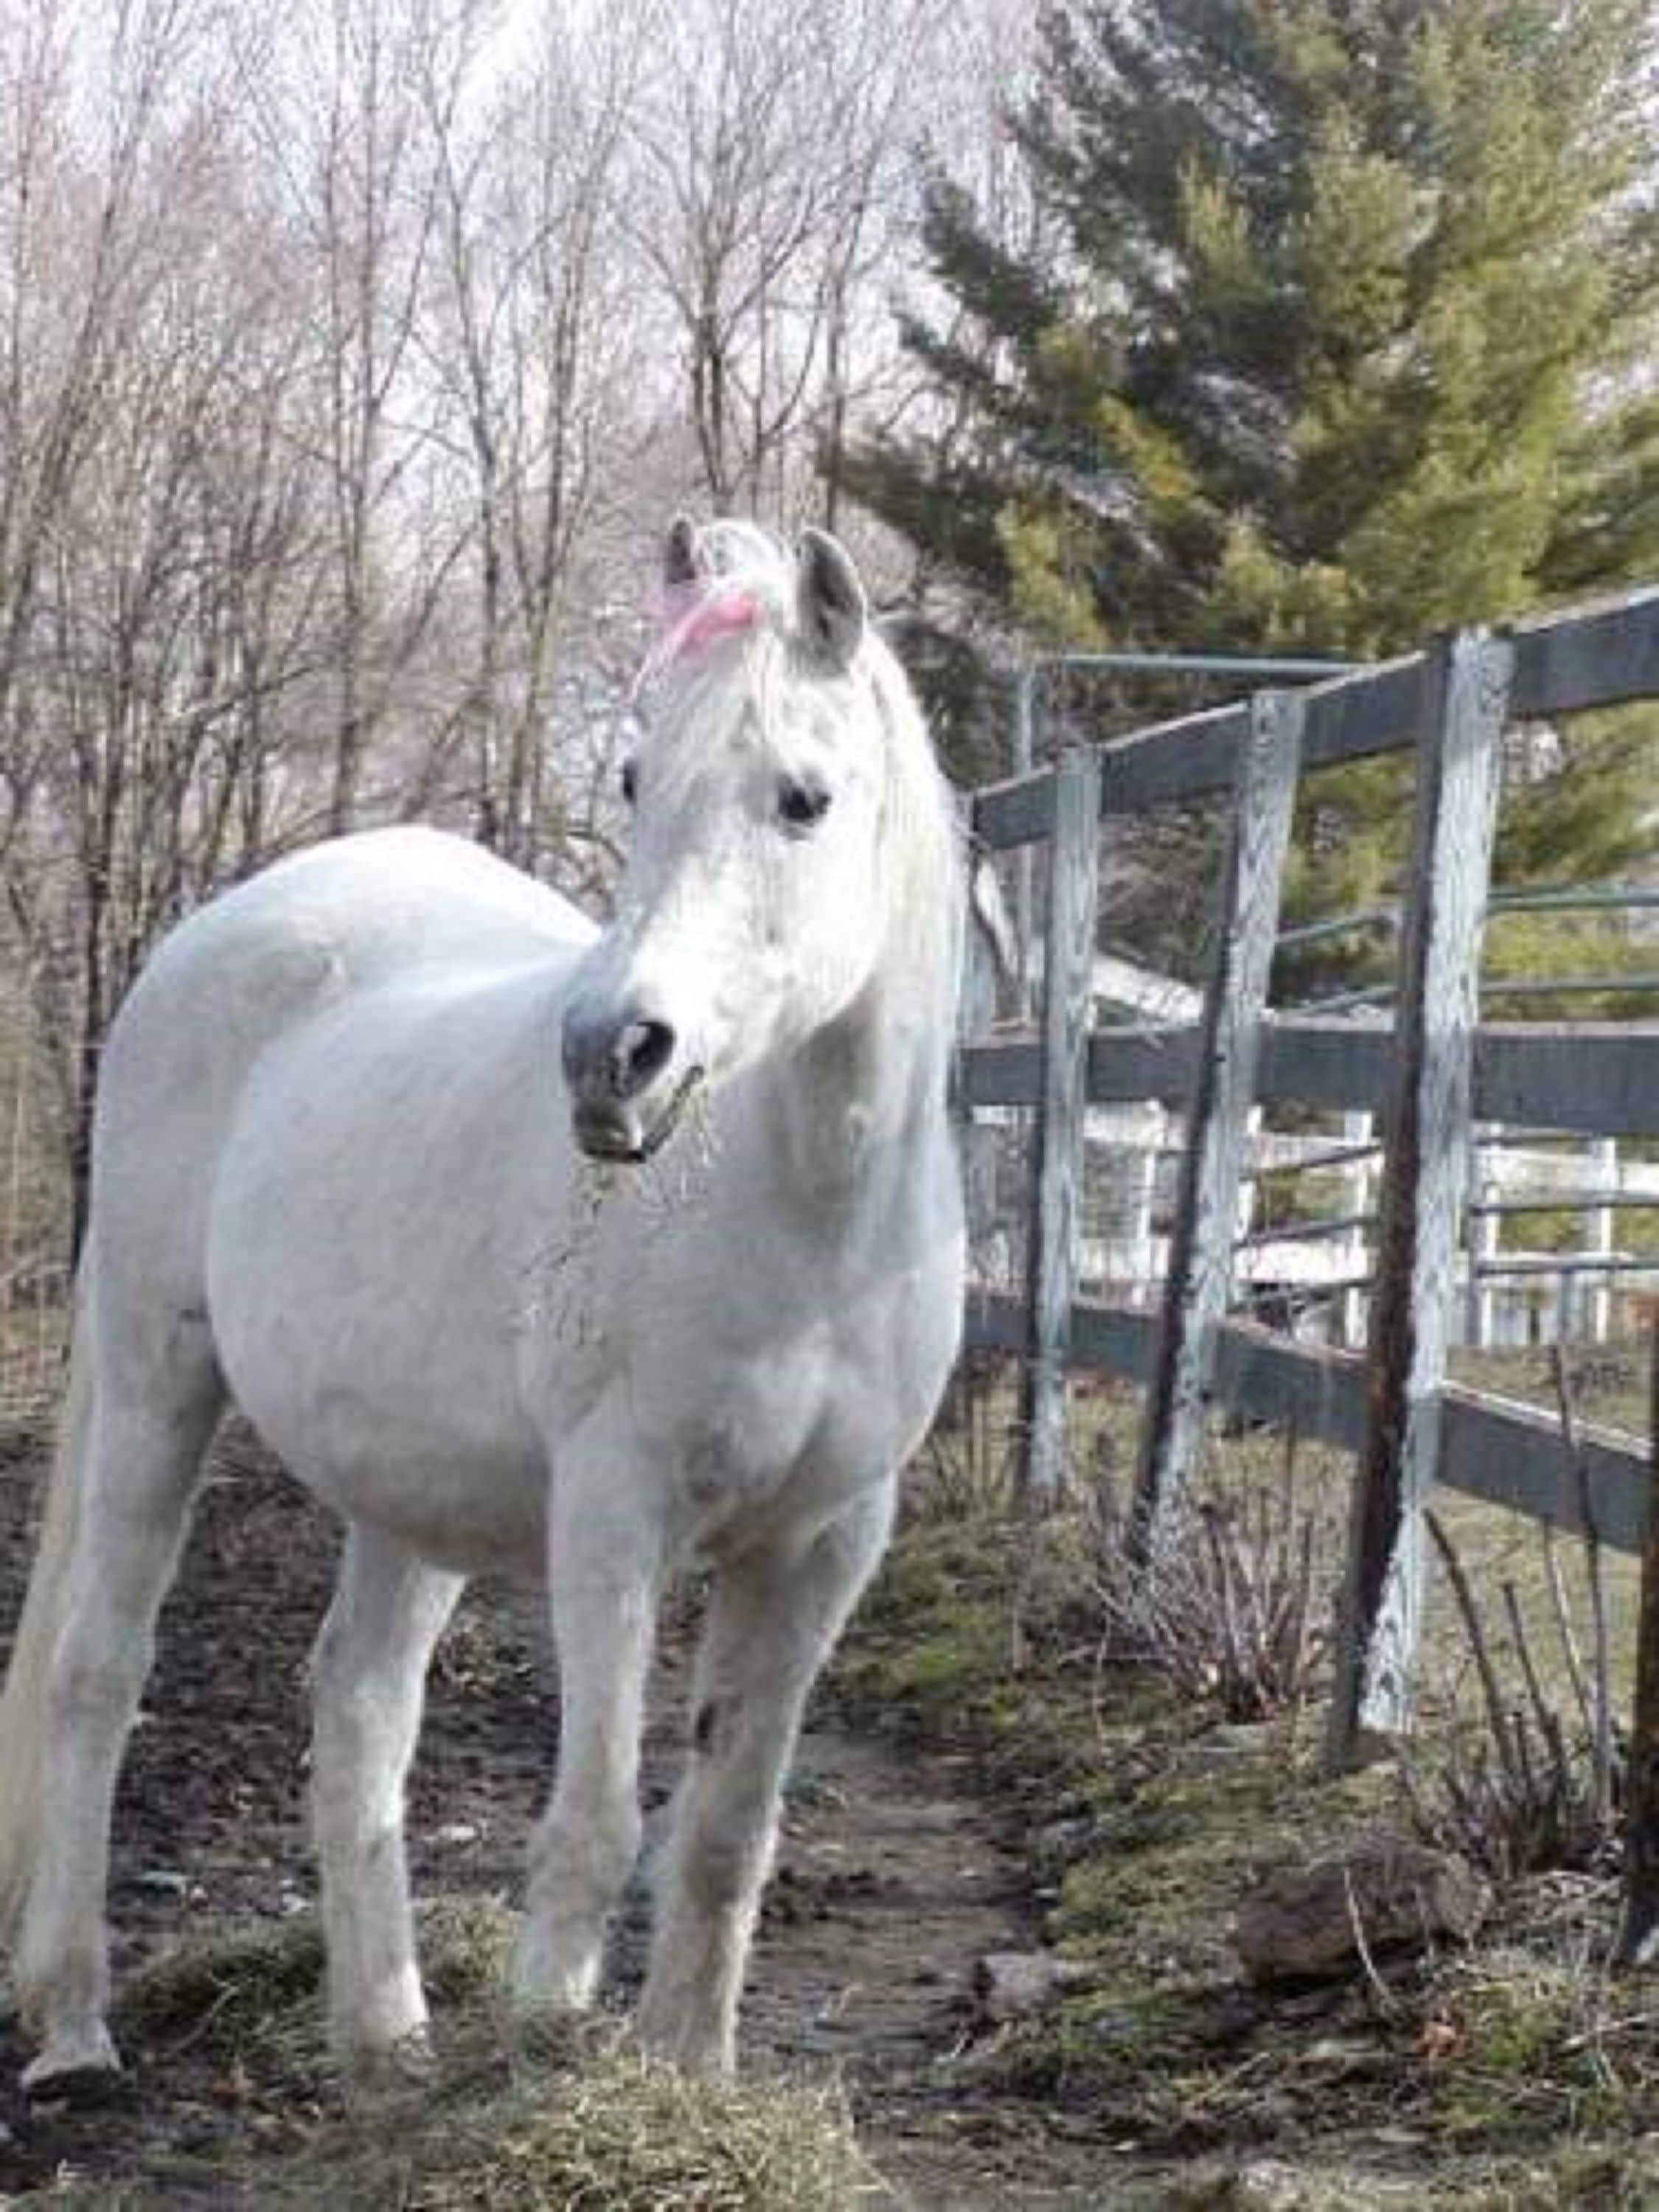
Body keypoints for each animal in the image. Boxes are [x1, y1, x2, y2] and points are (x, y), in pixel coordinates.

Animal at [0, 518, 968, 2089]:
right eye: (636, 780)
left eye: (805, 798)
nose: (613, 1056)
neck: (804, 1220)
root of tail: (223, 932)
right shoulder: (615, 1510)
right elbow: (596, 1827)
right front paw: (544, 2060)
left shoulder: (825, 1543)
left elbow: (725, 1837)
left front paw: (685, 2084)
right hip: (157, 1381)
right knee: (100, 1669)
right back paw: (77, 2022)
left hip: (407, 1491)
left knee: (358, 1710)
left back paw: (385, 2038)